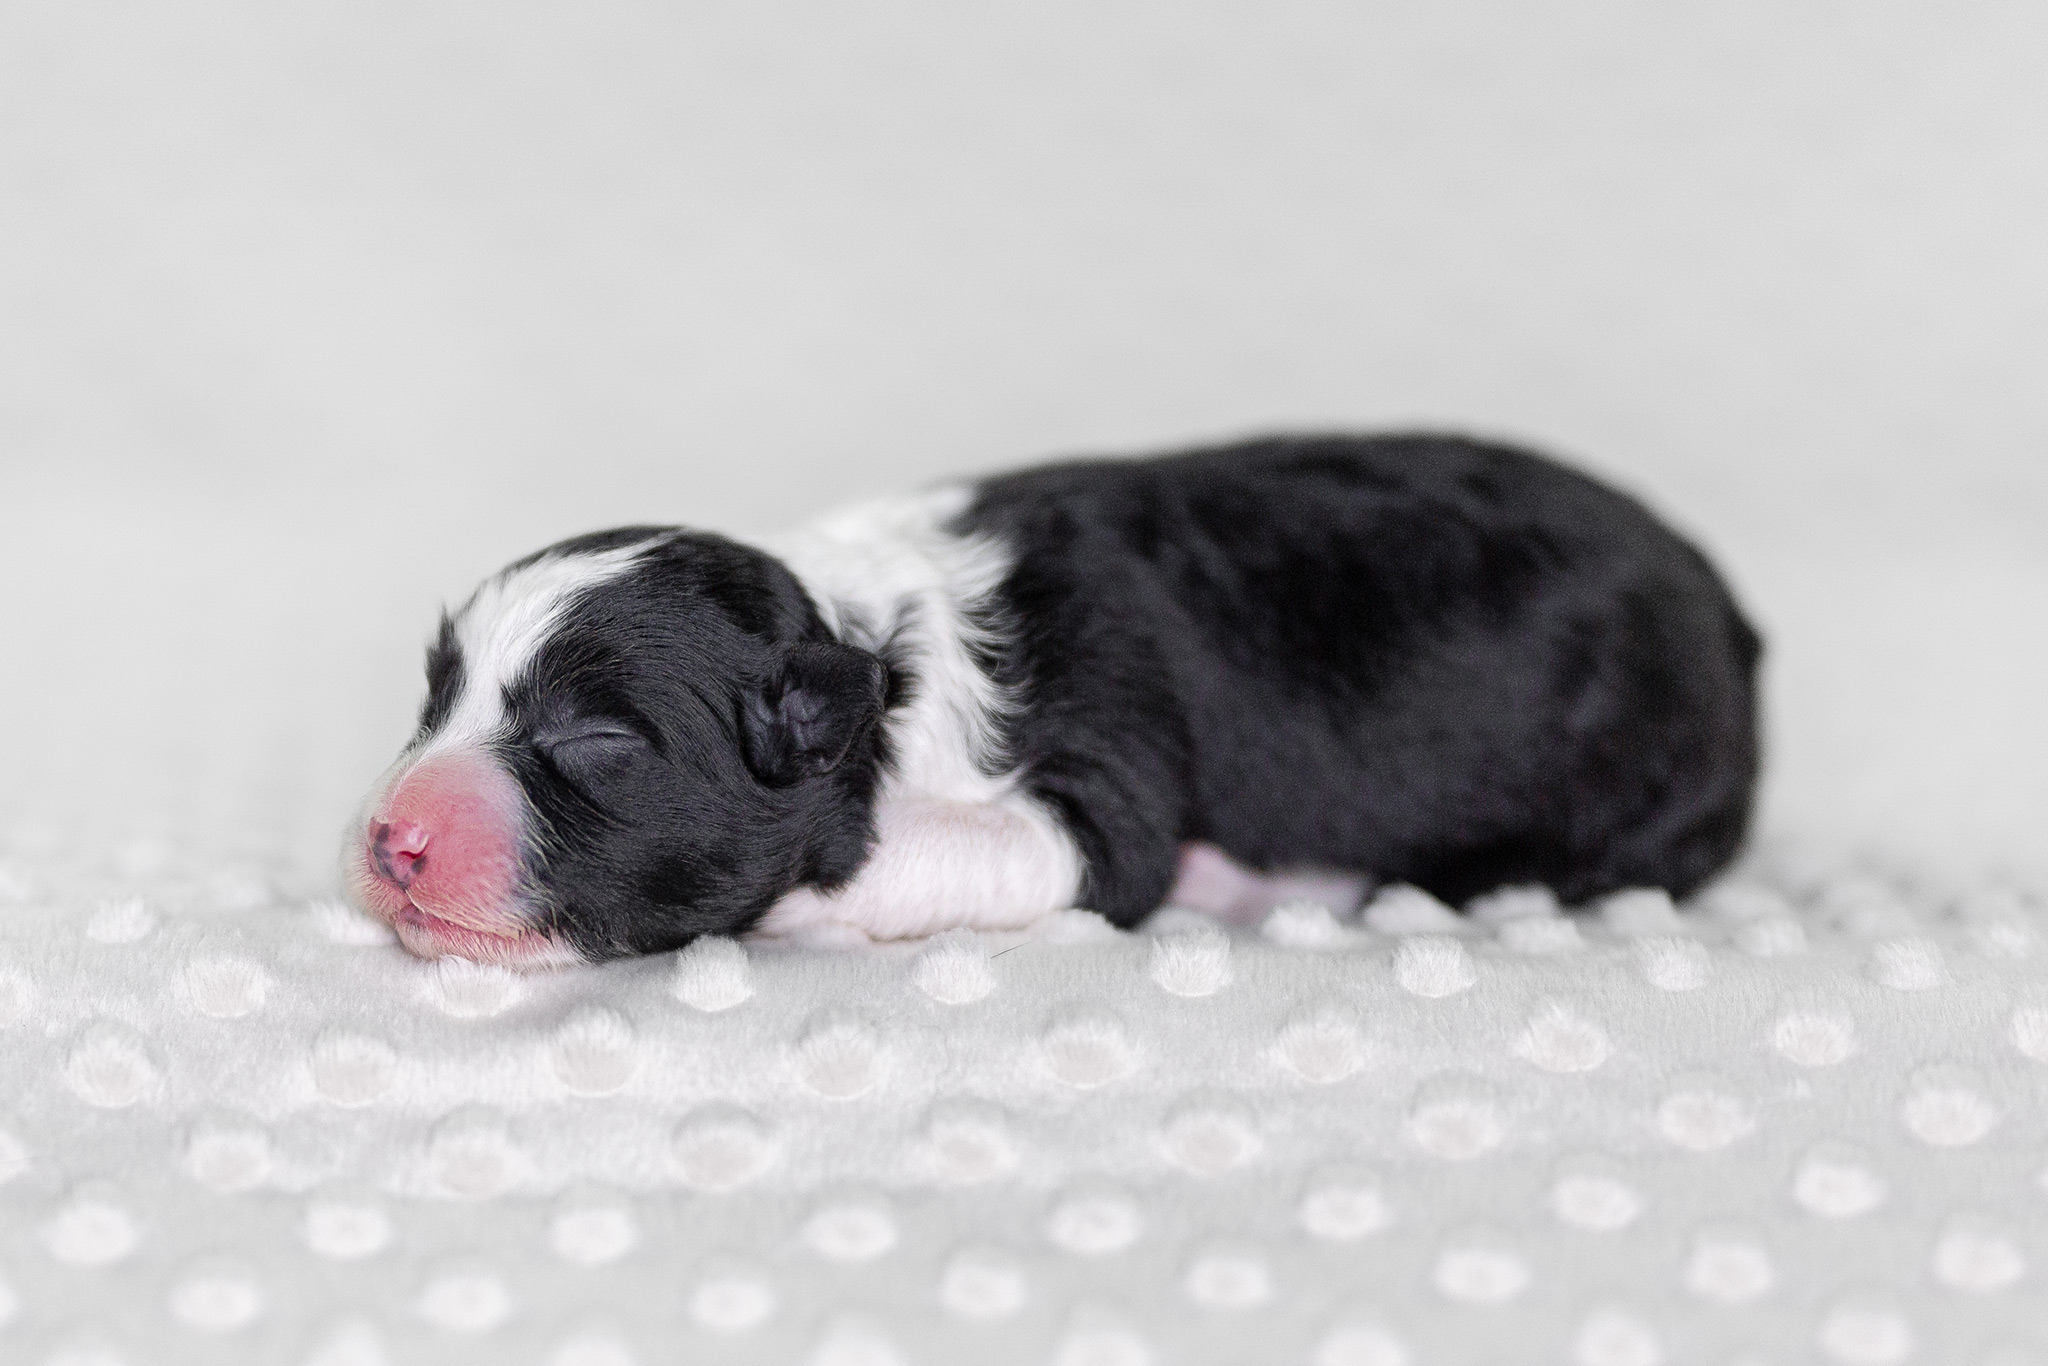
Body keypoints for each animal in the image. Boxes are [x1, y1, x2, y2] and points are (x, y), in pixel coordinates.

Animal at [348, 432, 1761, 966]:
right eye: (433, 699)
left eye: (596, 739)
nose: (389, 840)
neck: (872, 651)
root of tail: (1732, 615)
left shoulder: (1102, 767)